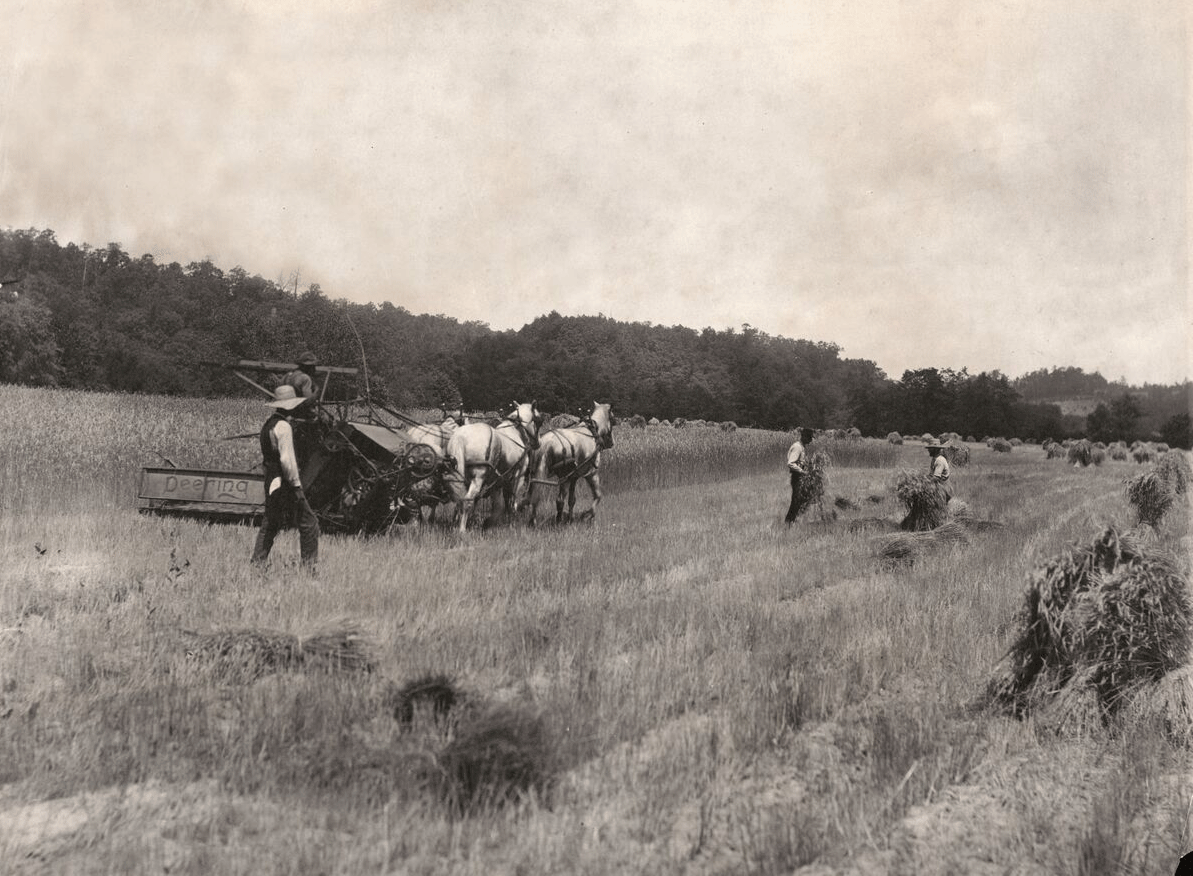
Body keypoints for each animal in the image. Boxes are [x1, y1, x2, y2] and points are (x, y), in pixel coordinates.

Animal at [446, 401, 544, 532]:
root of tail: (460, 437)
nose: (538, 443)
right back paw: (462, 530)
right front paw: (511, 524)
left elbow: (499, 505)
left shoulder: (498, 480)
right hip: (478, 477)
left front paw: (489, 522)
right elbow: (511, 501)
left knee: (459, 501)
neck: (516, 433)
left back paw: (455, 524)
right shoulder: (518, 475)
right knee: (467, 500)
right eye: (539, 421)